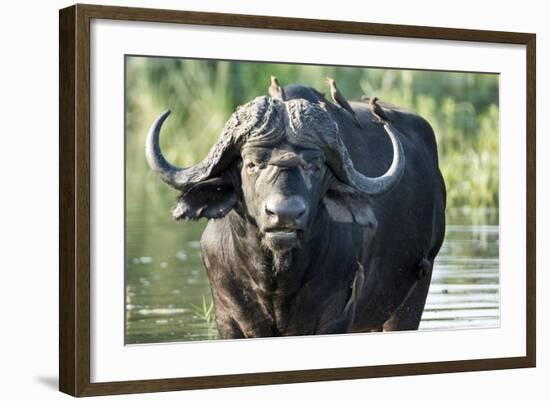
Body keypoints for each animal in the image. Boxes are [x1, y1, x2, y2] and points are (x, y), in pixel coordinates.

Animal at [147, 79, 448, 336]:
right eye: (252, 164)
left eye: (314, 166)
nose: (285, 214)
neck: (275, 280)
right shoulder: (227, 318)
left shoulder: (335, 317)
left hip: (412, 297)